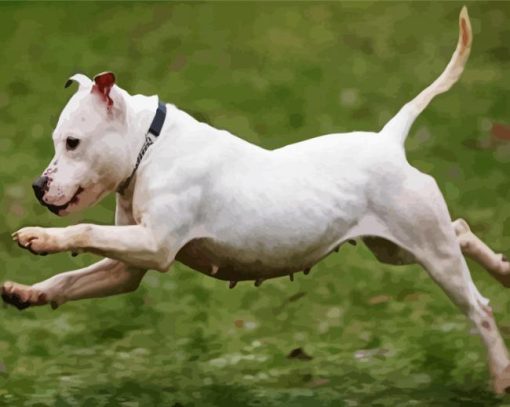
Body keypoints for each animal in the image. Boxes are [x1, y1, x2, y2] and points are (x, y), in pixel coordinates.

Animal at [1, 5, 508, 396]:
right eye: (57, 141)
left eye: (73, 142)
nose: (38, 186)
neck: (150, 145)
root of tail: (389, 140)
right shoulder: (127, 264)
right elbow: (69, 279)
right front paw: (27, 292)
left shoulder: (154, 245)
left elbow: (83, 229)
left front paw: (40, 237)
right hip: (398, 248)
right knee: (460, 231)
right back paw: (503, 269)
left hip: (428, 251)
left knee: (478, 307)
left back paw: (500, 375)